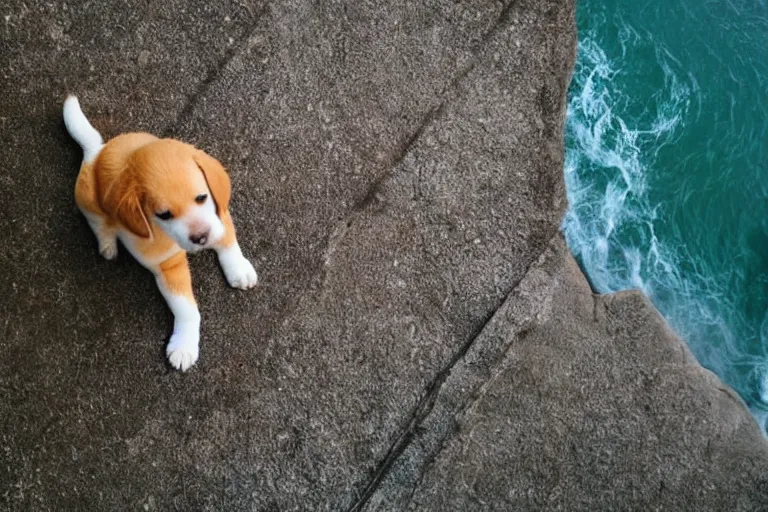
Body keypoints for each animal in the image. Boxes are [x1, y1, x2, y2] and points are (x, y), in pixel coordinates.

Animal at [64, 94, 256, 370]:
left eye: (201, 197)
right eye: (164, 215)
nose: (201, 238)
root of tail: (96, 152)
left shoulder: (219, 215)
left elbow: (229, 241)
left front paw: (239, 269)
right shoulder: (169, 267)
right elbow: (187, 309)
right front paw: (185, 346)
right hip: (88, 198)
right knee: (97, 220)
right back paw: (108, 243)